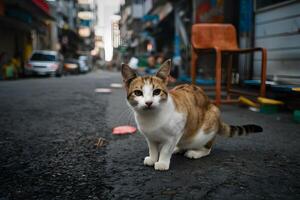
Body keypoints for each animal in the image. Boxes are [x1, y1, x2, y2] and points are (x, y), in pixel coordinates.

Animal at [120, 59, 262, 170]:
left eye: (156, 92)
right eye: (138, 93)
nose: (149, 103)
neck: (151, 118)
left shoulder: (175, 133)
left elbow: (166, 150)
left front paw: (162, 163)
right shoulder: (150, 137)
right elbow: (153, 148)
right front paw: (153, 158)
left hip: (206, 128)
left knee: (207, 148)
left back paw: (194, 153)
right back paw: (178, 149)